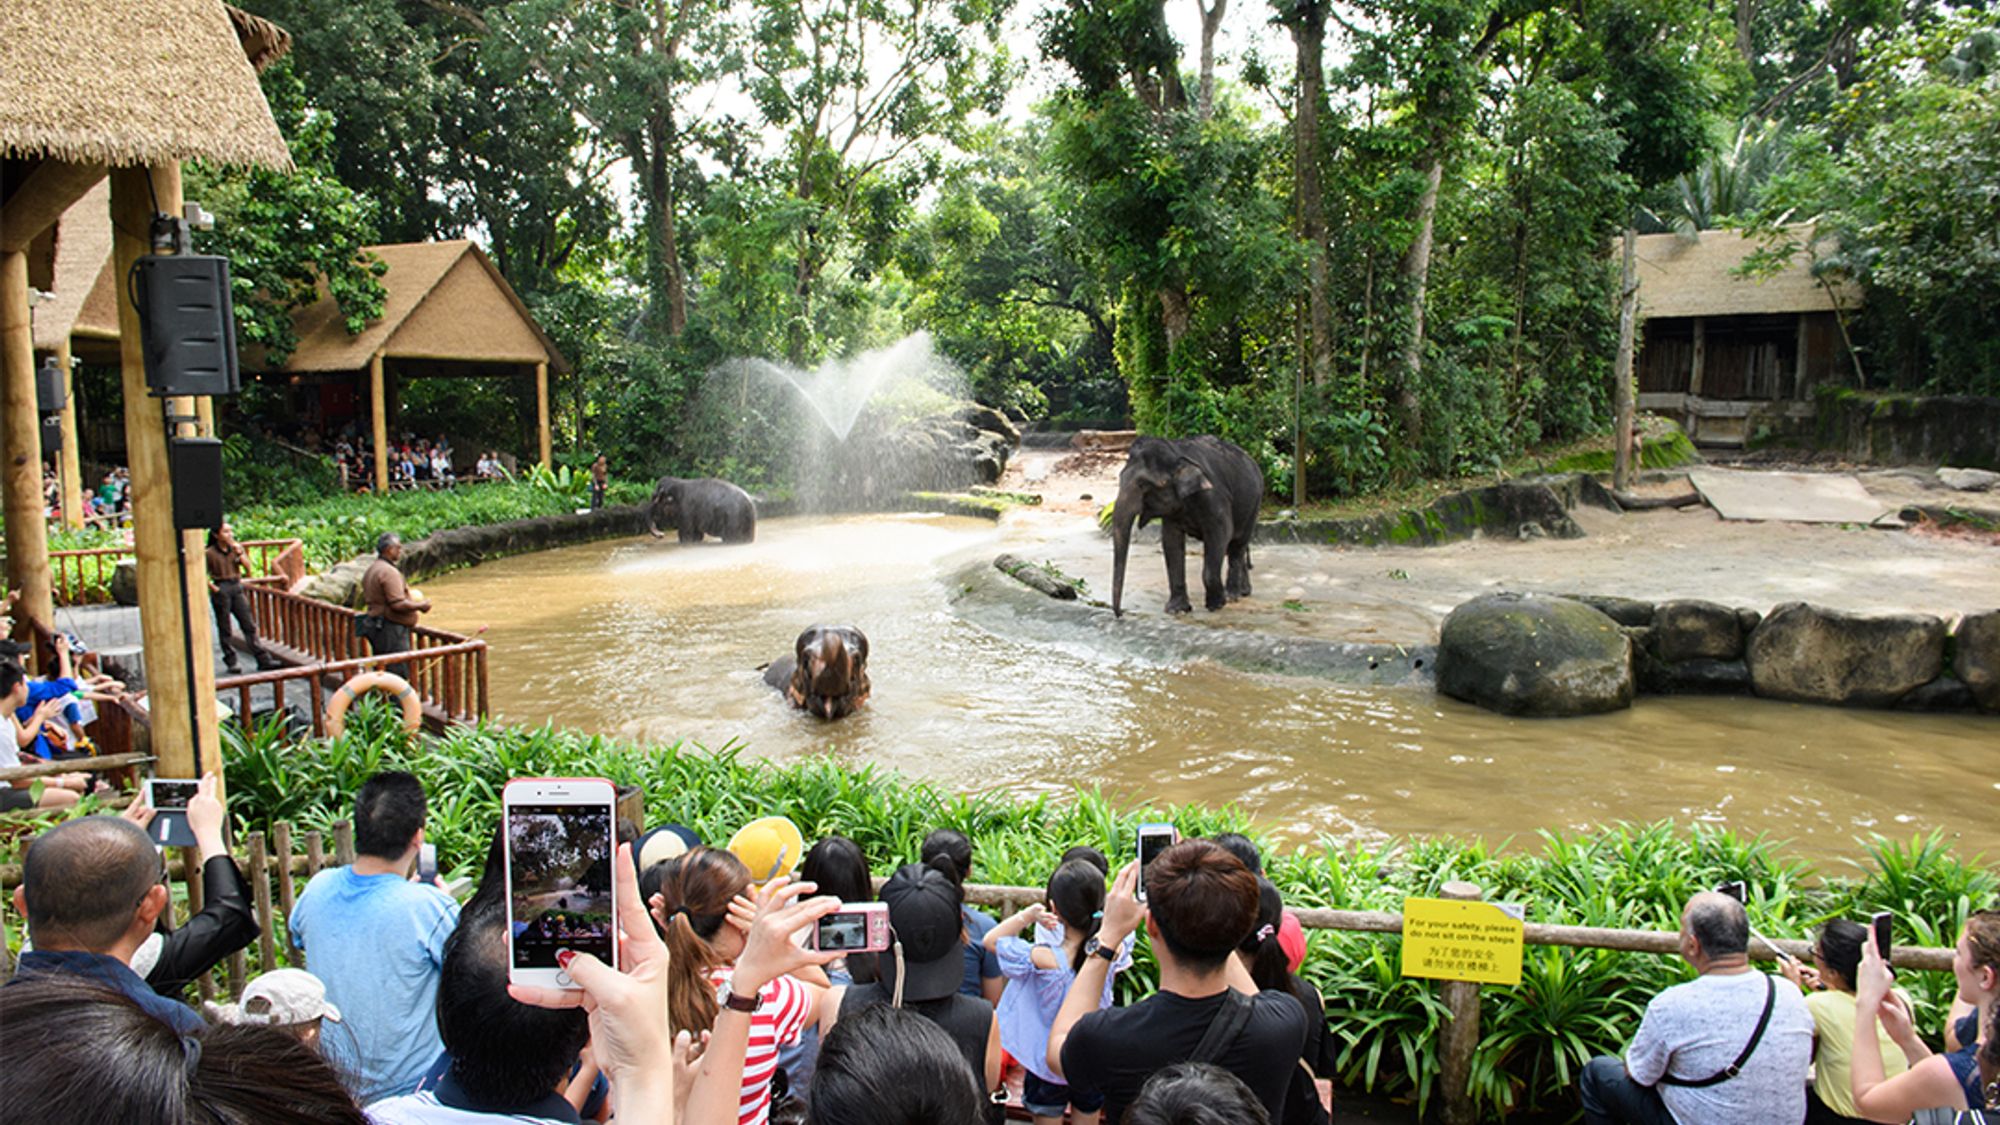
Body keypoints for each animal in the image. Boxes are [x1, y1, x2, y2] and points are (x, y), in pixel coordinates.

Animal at [1112, 434, 1264, 616]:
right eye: (1120, 479)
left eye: (1143, 485)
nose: (1121, 613)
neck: (1176, 454)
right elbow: (1171, 541)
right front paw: (1176, 609)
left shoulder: (1214, 497)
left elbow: (1221, 534)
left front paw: (1216, 605)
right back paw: (1244, 592)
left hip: (1254, 503)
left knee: (1237, 544)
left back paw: (1232, 595)